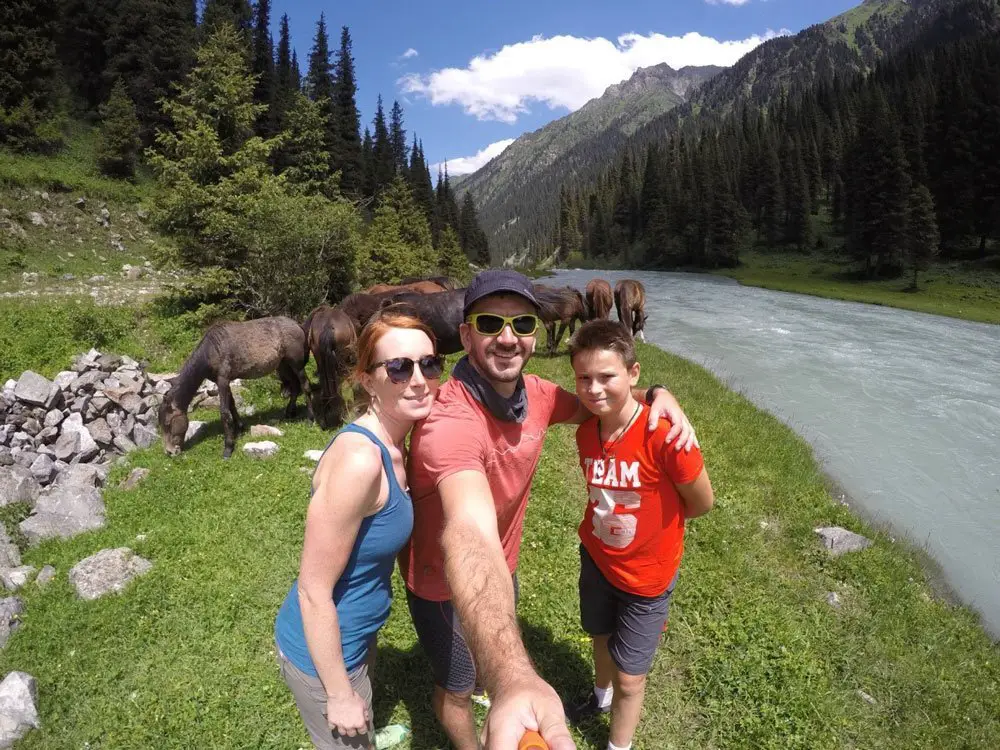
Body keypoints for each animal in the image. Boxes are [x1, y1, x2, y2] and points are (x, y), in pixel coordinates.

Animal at [158, 316, 312, 458]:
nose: (169, 451)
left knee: (305, 386)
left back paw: (310, 419)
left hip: (296, 365)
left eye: (167, 424)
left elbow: (225, 412)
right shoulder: (224, 382)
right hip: (283, 365)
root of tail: (297, 324)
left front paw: (228, 447)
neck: (212, 350)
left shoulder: (223, 380)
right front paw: (240, 427)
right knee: (295, 386)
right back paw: (290, 412)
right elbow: (232, 404)